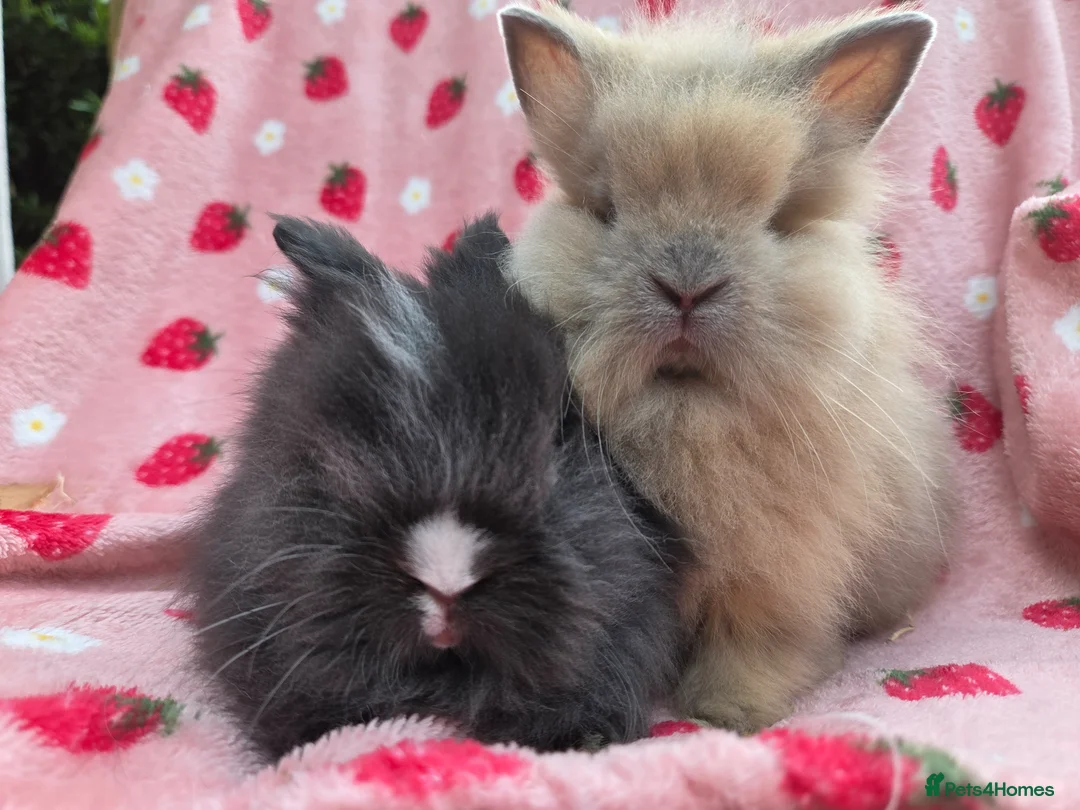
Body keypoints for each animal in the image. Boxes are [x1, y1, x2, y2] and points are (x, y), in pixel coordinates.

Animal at [496, 2, 956, 733]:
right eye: (606, 209)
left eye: (777, 218)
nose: (686, 289)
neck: (687, 416)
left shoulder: (779, 581)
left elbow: (755, 643)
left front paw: (729, 713)